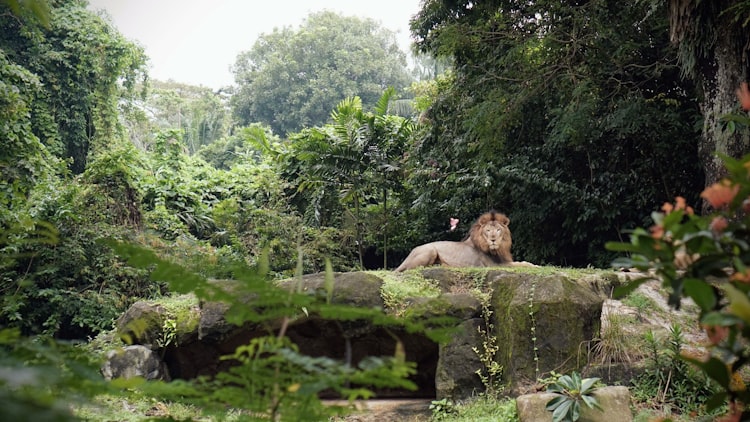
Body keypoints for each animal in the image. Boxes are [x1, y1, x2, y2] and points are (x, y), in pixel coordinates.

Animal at [394, 211, 524, 274]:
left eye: (498, 230)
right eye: (488, 230)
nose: (493, 239)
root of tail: (410, 253)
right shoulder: (493, 265)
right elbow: (521, 264)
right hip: (430, 250)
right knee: (410, 269)